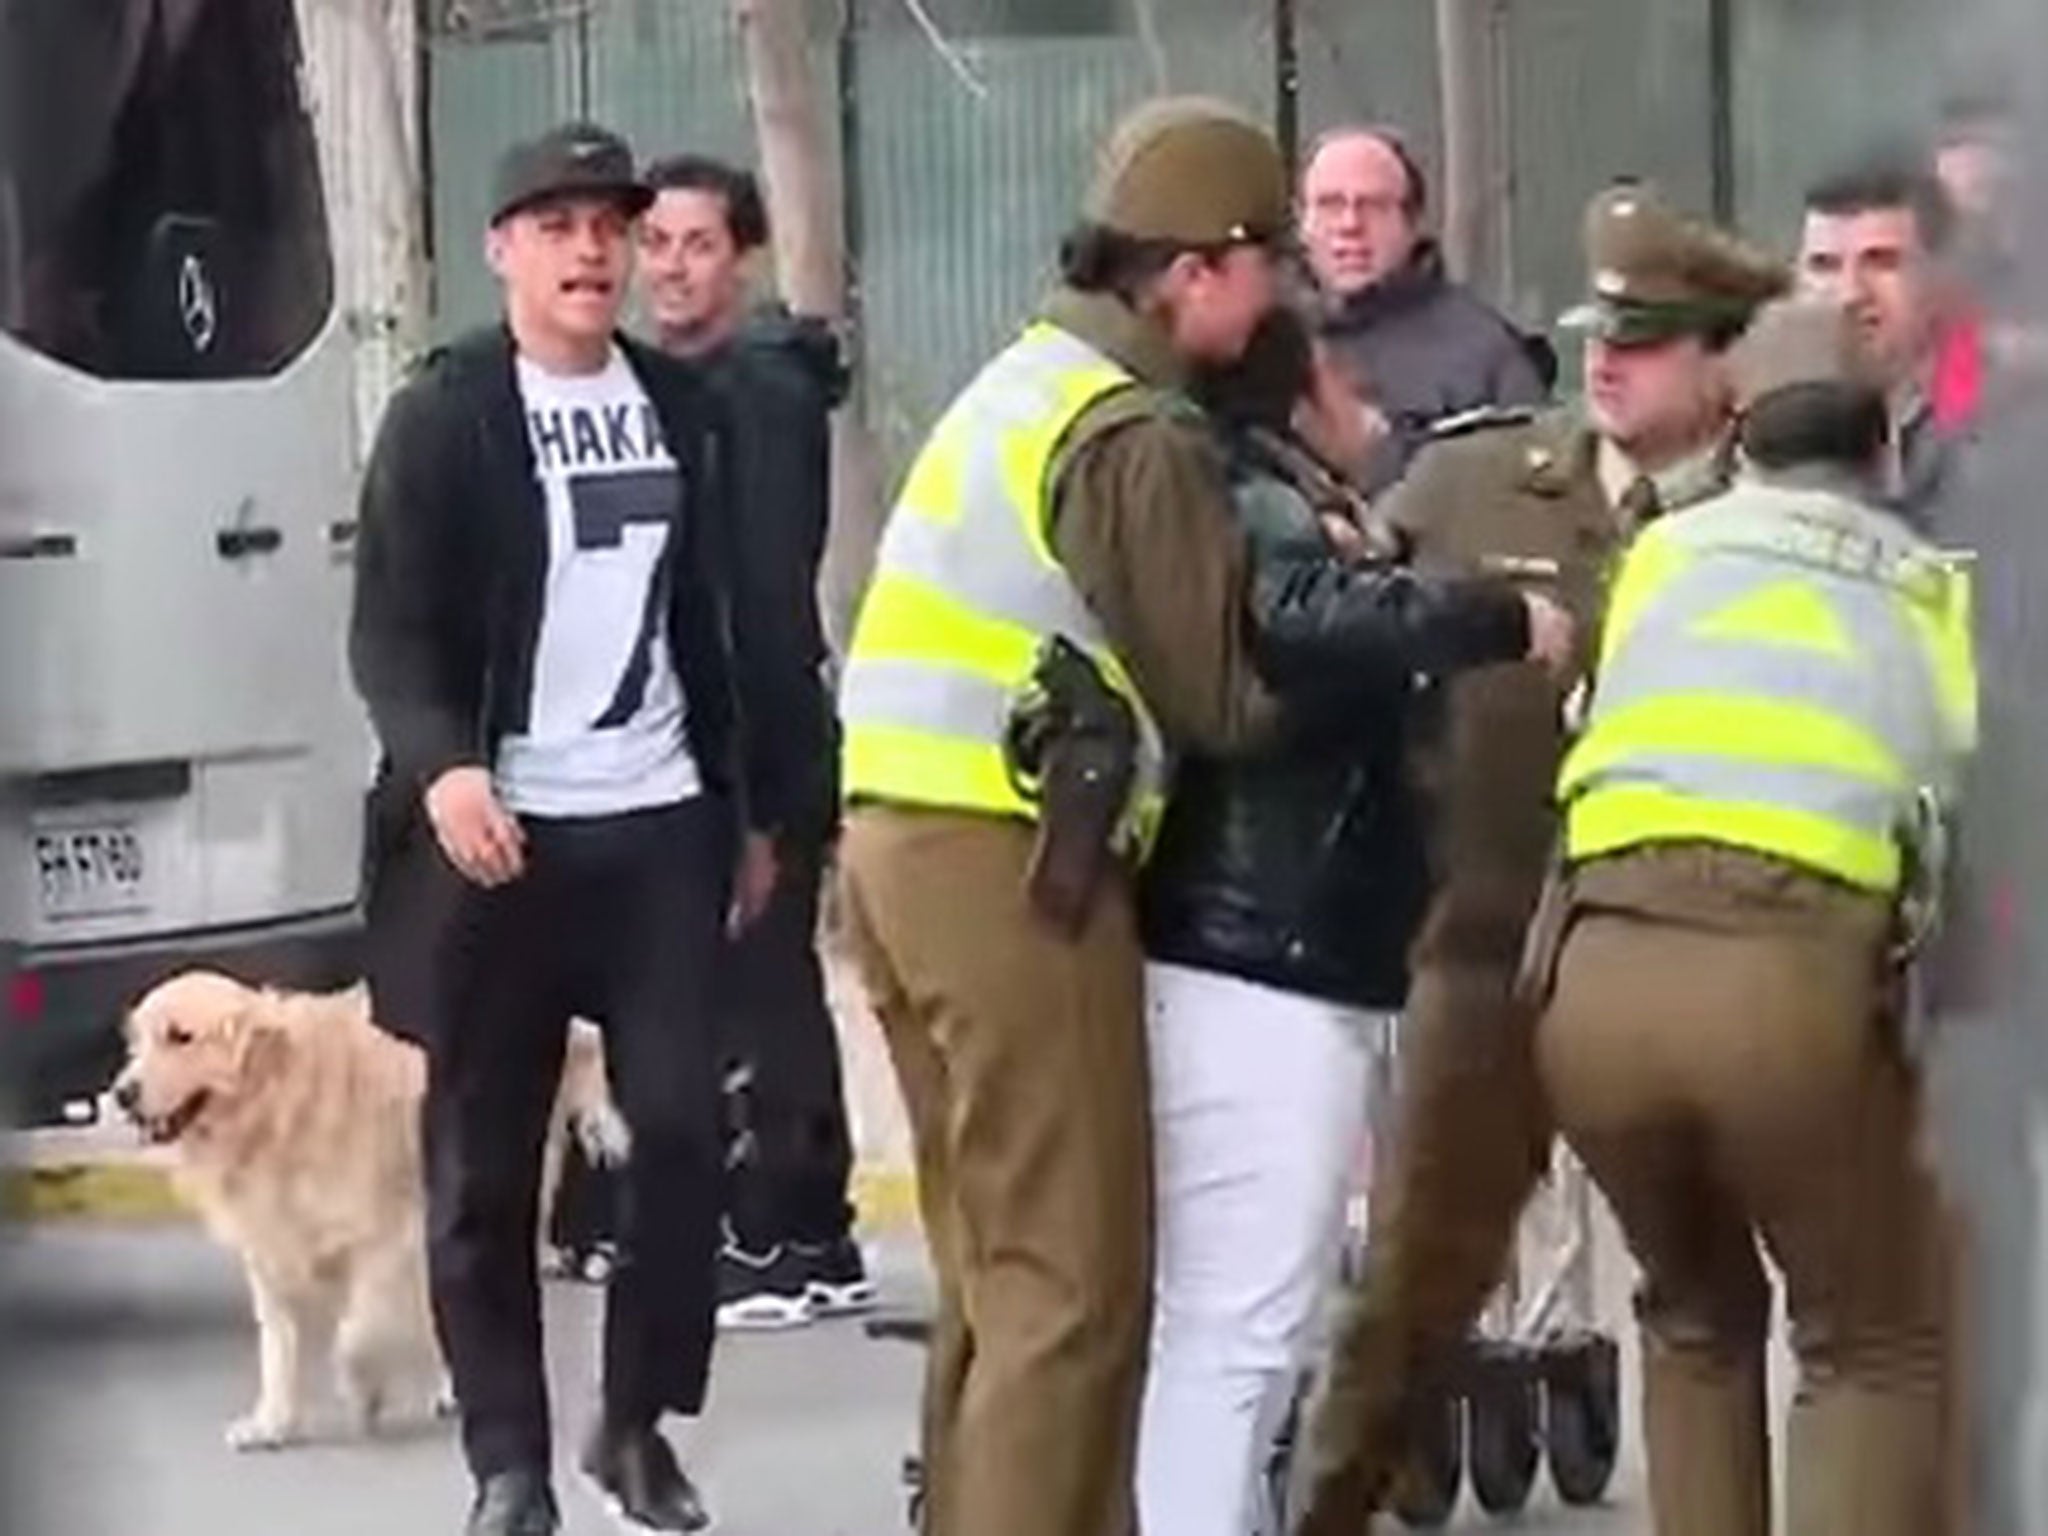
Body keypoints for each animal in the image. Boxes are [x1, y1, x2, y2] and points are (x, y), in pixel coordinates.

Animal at [110, 974, 622, 1458]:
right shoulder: (272, 1252)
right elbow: (278, 1348)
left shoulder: (389, 1241)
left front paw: (363, 1390)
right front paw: (271, 1423)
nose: (121, 1094)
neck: (280, 1109)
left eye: (181, 1037)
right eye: (138, 1043)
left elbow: (359, 1332)